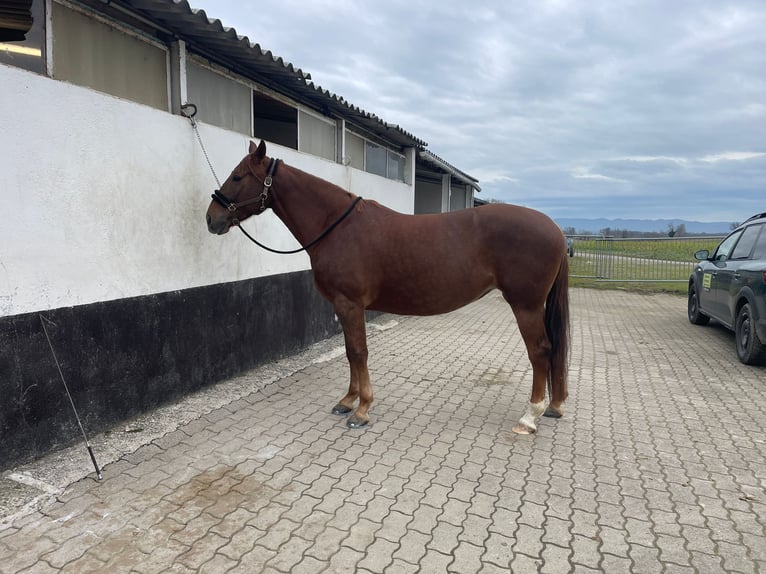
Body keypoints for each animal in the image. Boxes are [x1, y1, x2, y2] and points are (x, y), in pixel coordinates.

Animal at [206, 140, 570, 434]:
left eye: (237, 176)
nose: (212, 218)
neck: (336, 226)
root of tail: (555, 228)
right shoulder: (344, 307)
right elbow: (350, 353)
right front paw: (348, 400)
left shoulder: (350, 304)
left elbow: (358, 352)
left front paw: (362, 410)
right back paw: (552, 407)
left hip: (525, 305)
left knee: (540, 351)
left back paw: (530, 417)